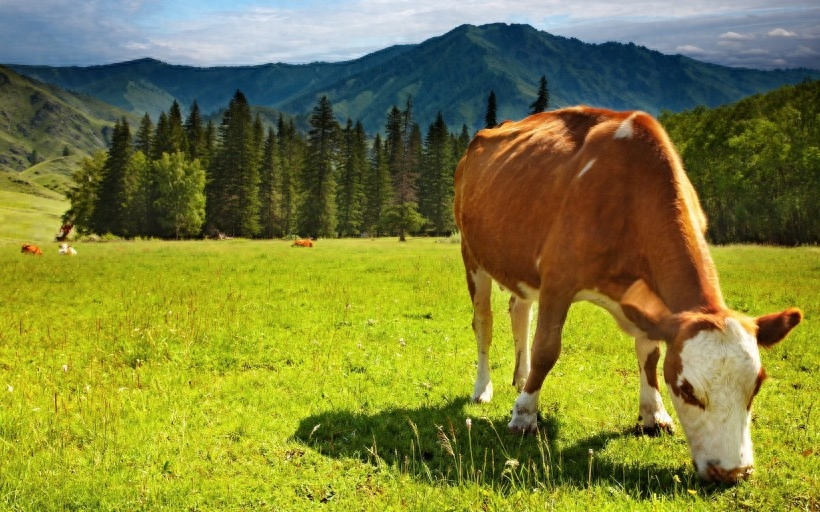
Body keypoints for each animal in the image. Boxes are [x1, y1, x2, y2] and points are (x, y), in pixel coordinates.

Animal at [452, 107, 804, 484]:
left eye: (757, 385)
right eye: (687, 389)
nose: (733, 472)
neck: (630, 197)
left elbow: (649, 354)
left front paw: (654, 414)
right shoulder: (557, 278)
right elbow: (546, 348)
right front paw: (523, 415)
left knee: (520, 312)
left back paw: (520, 377)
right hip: (472, 254)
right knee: (484, 324)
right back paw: (483, 388)